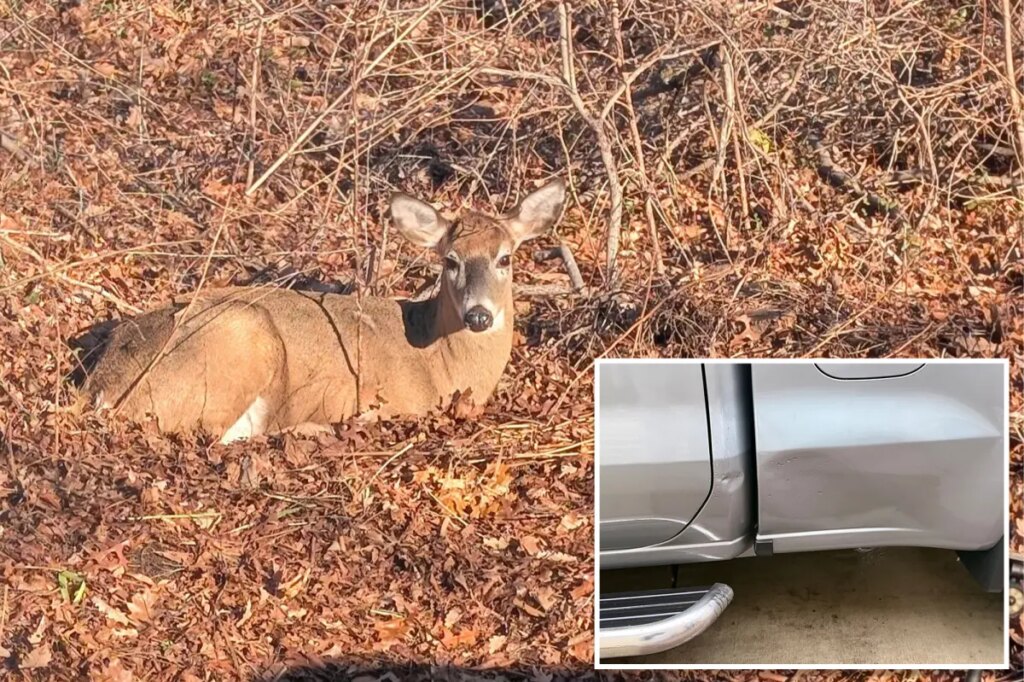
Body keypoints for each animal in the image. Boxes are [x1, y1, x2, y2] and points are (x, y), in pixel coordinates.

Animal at [80, 179, 566, 443]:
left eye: (505, 258)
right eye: (451, 260)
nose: (479, 316)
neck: (440, 363)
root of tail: (101, 388)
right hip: (239, 339)